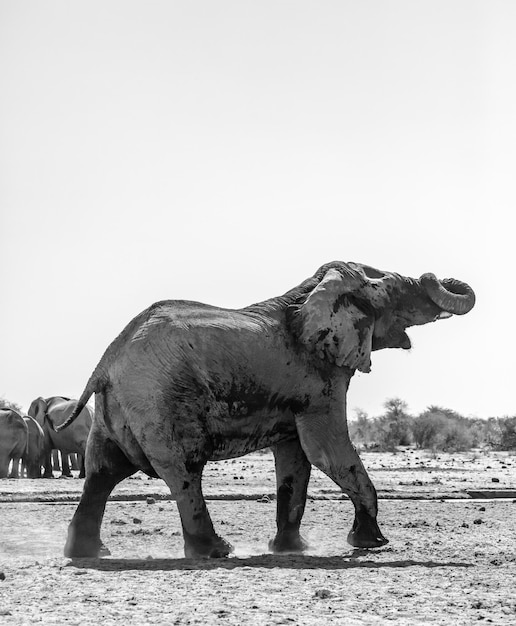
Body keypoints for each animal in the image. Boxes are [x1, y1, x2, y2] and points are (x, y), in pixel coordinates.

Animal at [57, 258, 476, 556]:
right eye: (395, 291)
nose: (431, 275)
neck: (313, 291)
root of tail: (106, 362)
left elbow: (296, 460)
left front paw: (292, 549)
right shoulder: (322, 380)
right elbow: (327, 451)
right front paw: (371, 543)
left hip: (117, 409)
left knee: (102, 471)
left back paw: (88, 554)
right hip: (158, 398)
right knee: (184, 469)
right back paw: (215, 551)